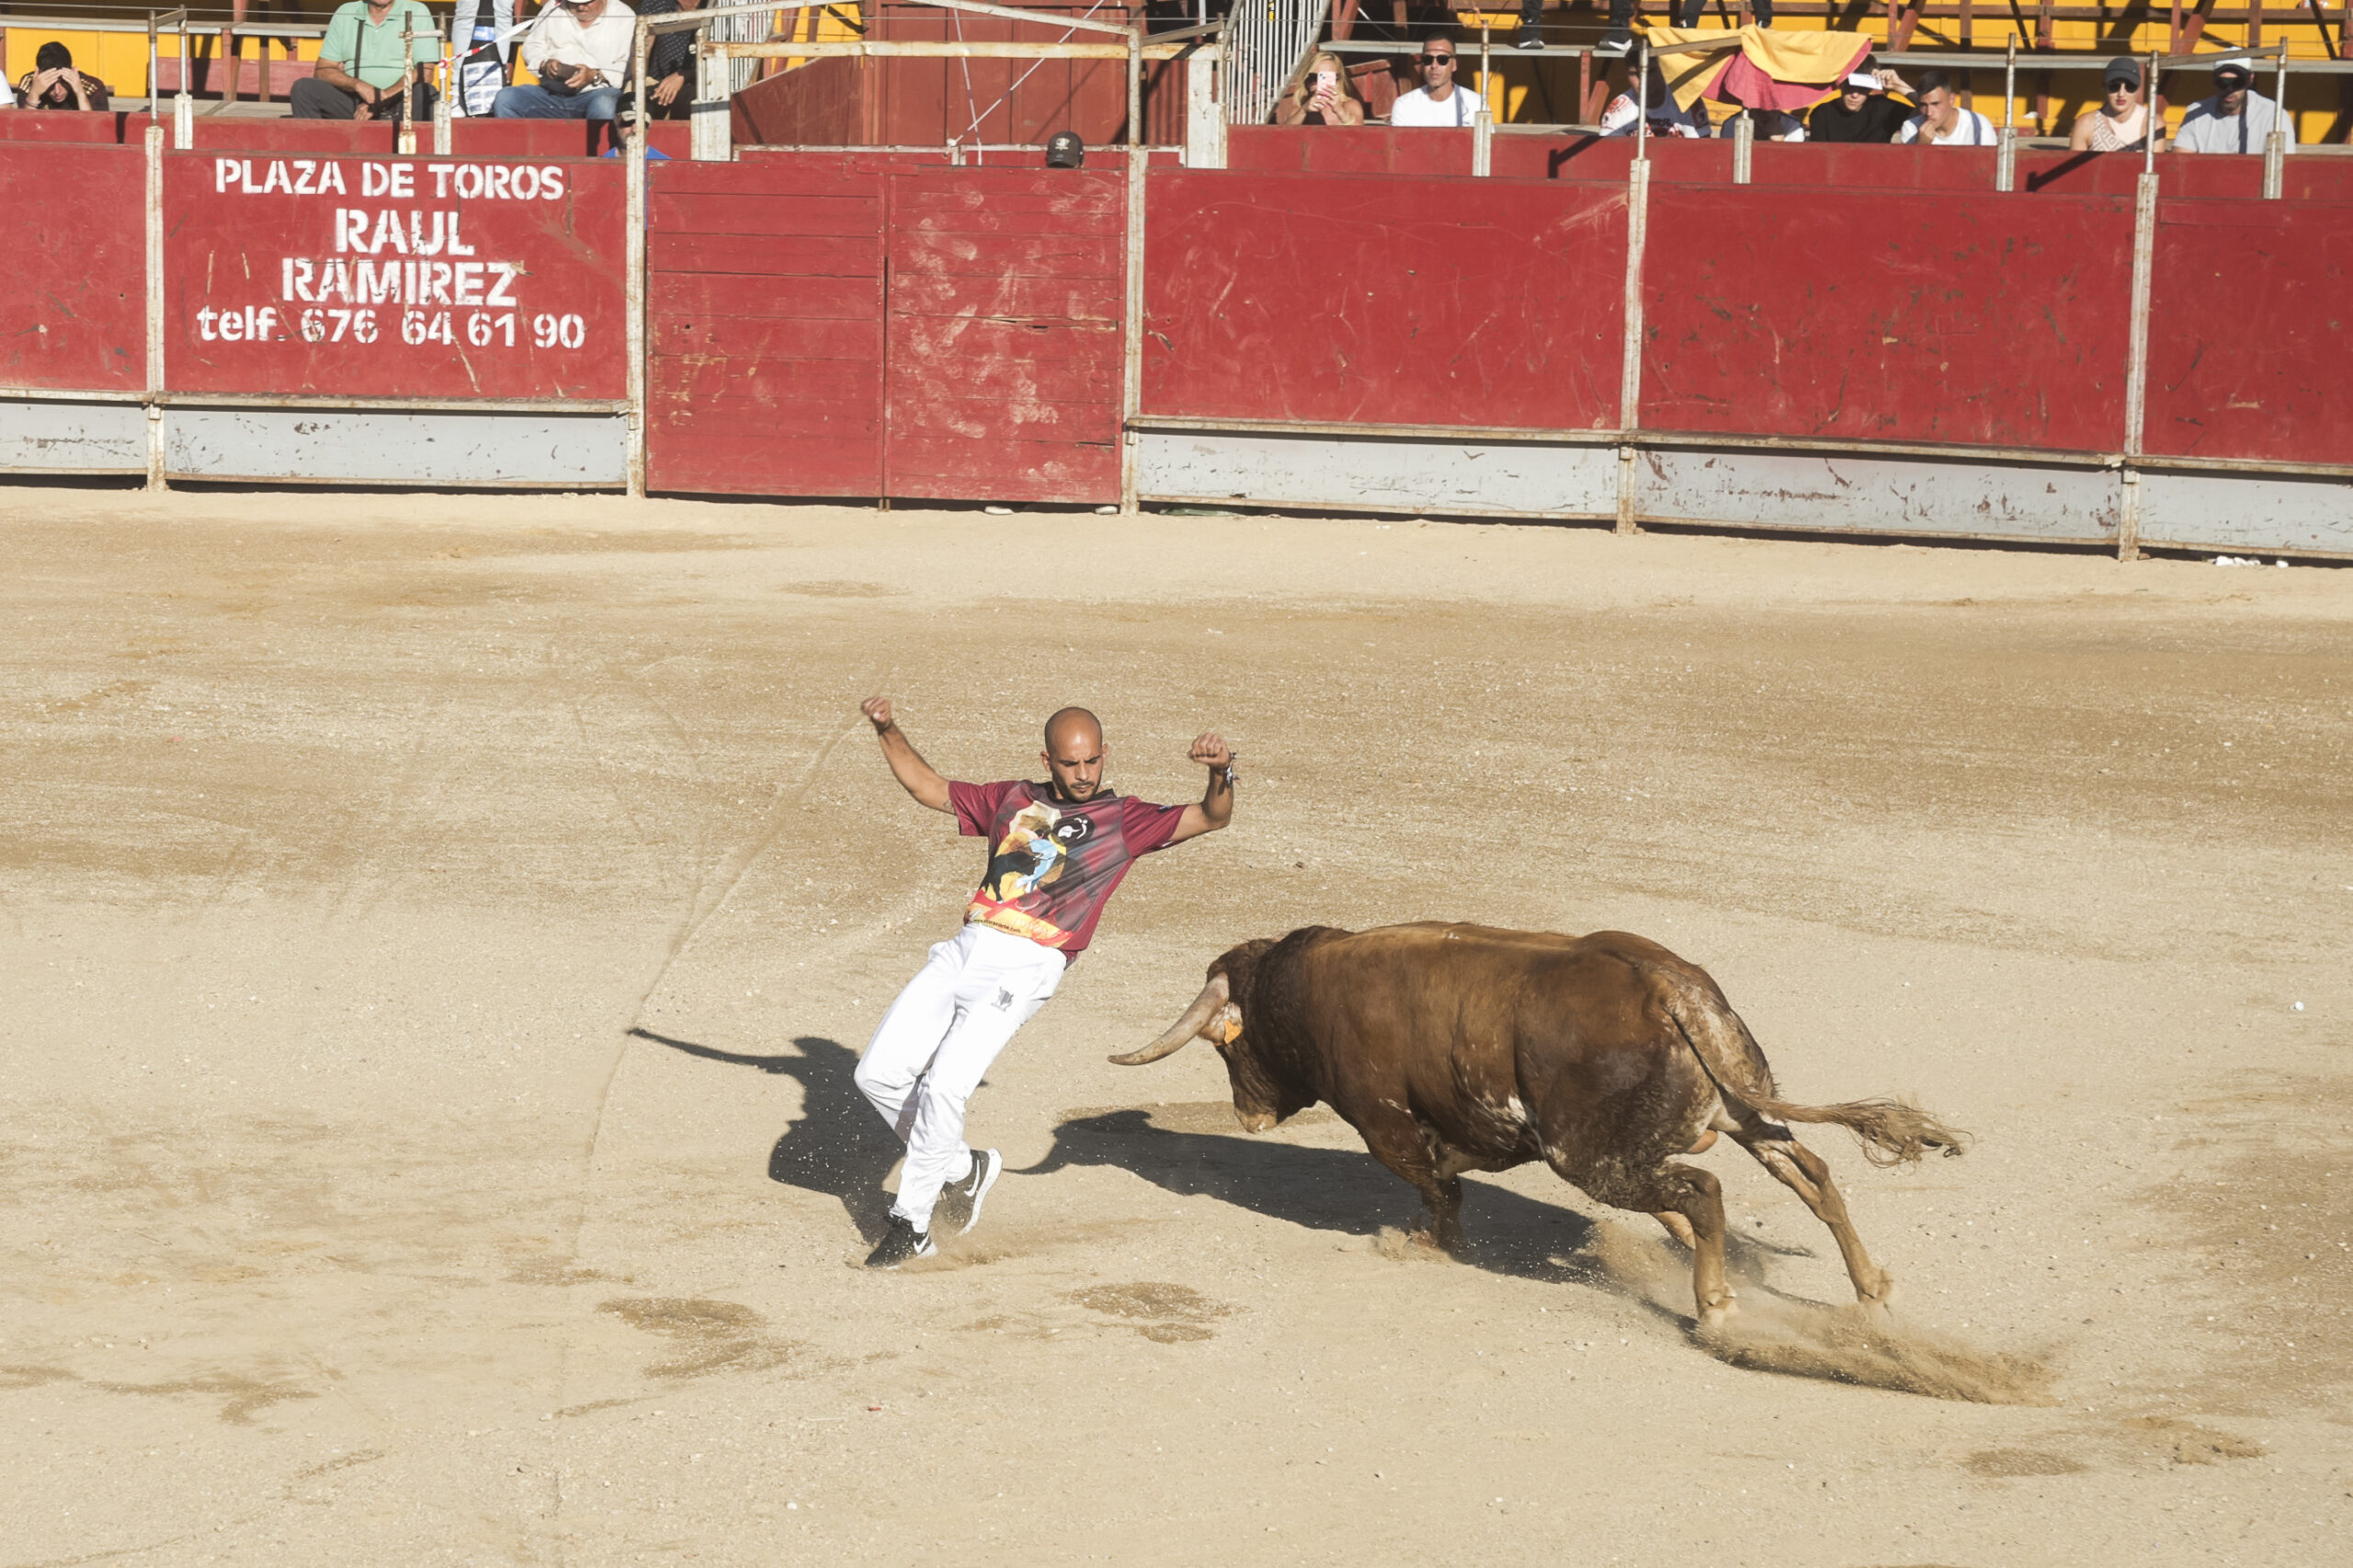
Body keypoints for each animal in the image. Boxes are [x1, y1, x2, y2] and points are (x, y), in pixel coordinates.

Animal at [1115, 923, 1967, 1327]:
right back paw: (1872, 1291)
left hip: (1587, 1155)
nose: (1248, 1116)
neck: (1311, 988)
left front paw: (1428, 1247)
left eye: (1231, 1043)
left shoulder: (1388, 1129)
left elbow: (1437, 1191)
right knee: (1808, 1174)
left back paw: (1718, 1307)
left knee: (1704, 1190)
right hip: (1743, 1109)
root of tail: (1671, 990)